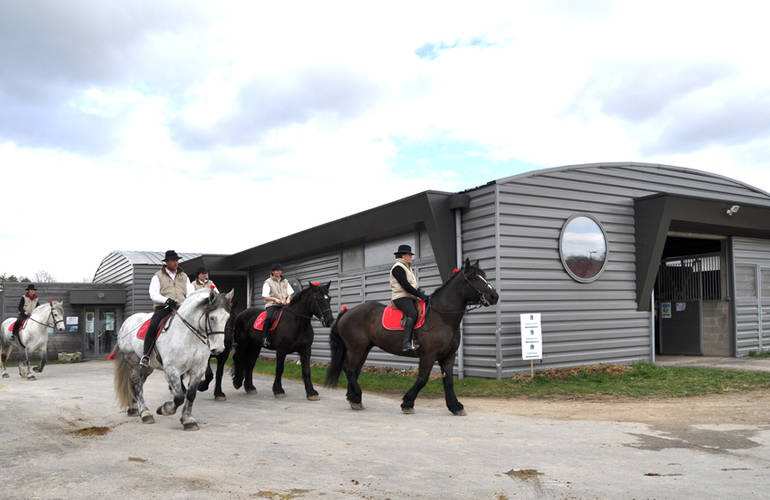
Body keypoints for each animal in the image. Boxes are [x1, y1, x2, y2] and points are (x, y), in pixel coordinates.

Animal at [111, 288, 231, 432]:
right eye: (212, 318)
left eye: (228, 318)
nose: (219, 349)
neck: (189, 336)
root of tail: (127, 322)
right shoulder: (171, 369)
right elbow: (179, 397)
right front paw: (164, 409)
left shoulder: (198, 369)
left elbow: (190, 394)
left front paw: (188, 420)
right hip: (134, 362)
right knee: (136, 384)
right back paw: (145, 413)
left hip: (147, 367)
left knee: (138, 383)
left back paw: (135, 409)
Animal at [322, 260, 498, 416]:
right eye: (473, 277)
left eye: (484, 275)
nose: (494, 296)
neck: (442, 316)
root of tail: (348, 312)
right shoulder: (428, 355)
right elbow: (422, 379)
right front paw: (407, 403)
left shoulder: (448, 355)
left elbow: (448, 381)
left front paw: (455, 407)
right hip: (356, 348)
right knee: (349, 369)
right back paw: (357, 397)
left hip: (364, 349)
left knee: (355, 370)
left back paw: (353, 399)